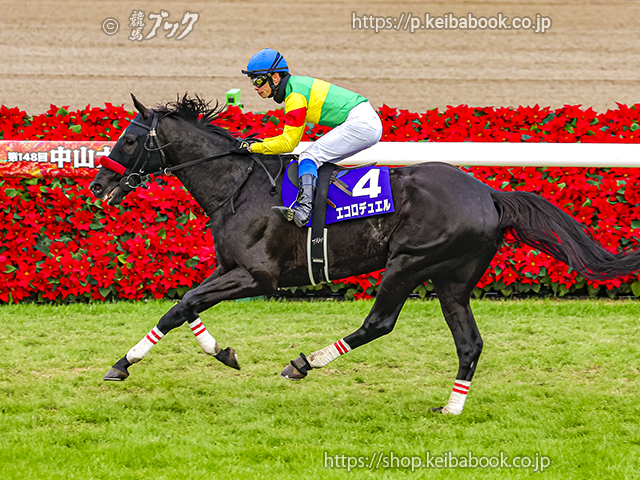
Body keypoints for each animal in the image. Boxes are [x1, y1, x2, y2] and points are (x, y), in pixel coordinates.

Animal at [89, 94, 640, 415]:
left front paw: (127, 363)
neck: (237, 186)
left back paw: (304, 362)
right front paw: (209, 352)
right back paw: (451, 409)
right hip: (453, 279)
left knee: (379, 323)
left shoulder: (258, 277)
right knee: (470, 343)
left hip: (409, 262)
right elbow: (186, 307)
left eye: (131, 139)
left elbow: (183, 304)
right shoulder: (230, 268)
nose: (98, 185)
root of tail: (487, 193)